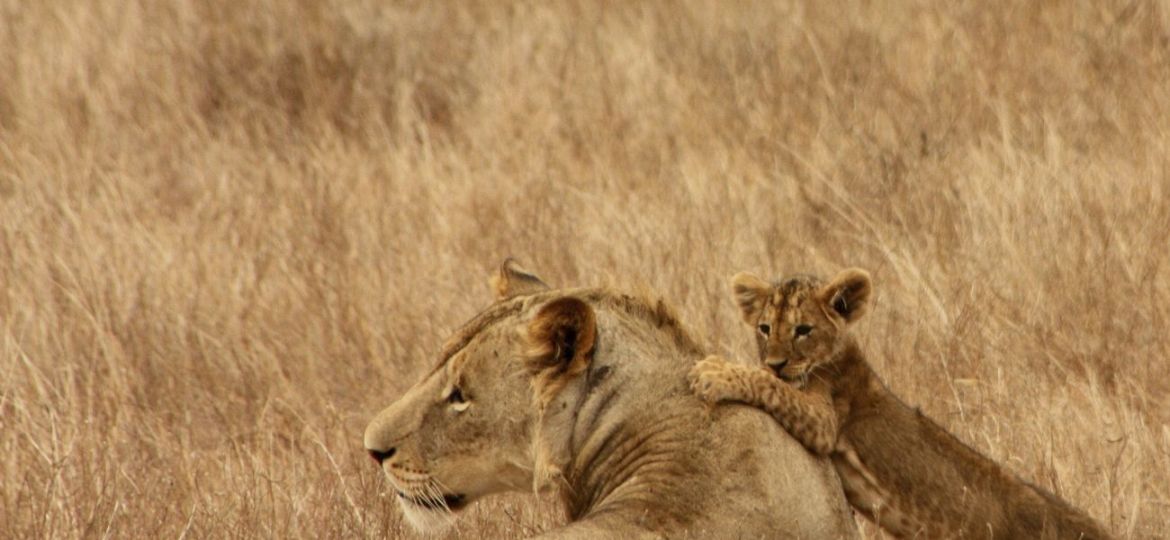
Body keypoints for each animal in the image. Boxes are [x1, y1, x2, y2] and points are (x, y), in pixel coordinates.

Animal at [689, 268, 1112, 539]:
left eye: (803, 330)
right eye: (765, 328)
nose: (775, 361)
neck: (837, 355)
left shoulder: (825, 420)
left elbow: (768, 385)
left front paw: (715, 372)